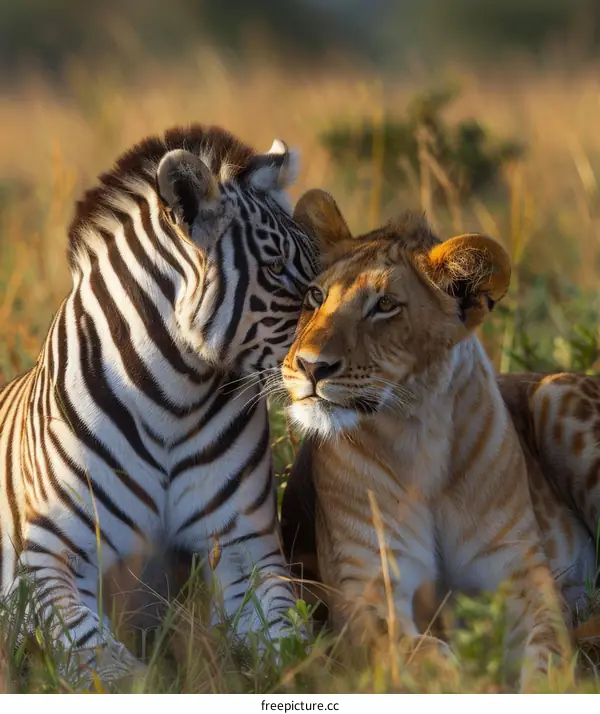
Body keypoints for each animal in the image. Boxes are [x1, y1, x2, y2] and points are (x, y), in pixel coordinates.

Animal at [0, 124, 318, 682]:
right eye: (276, 269)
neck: (173, 400)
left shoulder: (246, 548)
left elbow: (292, 643)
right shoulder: (49, 558)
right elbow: (106, 664)